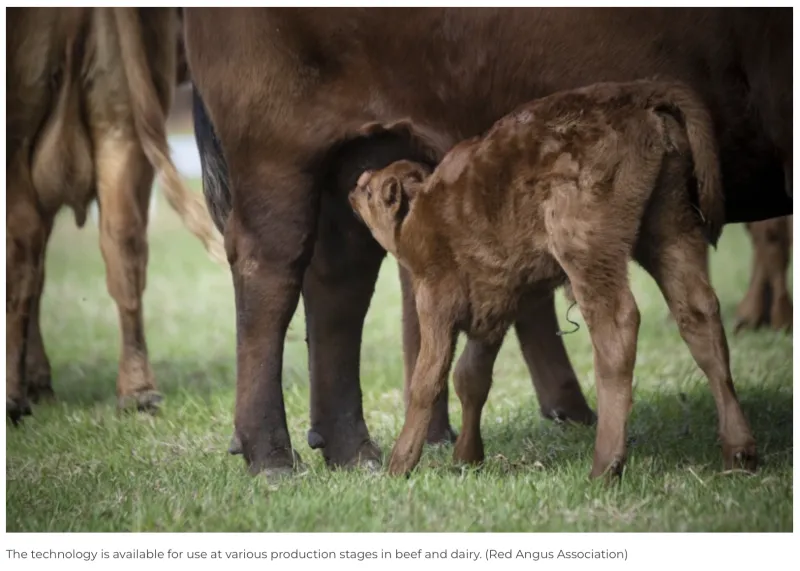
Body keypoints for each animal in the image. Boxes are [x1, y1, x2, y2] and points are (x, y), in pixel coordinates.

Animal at [183, 8, 791, 477]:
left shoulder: (448, 300)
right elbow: (468, 375)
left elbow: (432, 377)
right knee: (279, 275)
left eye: (376, 189)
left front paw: (412, 461)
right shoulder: (491, 299)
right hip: (282, 162)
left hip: (614, 242)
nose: (362, 186)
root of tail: (642, 99)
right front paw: (461, 456)